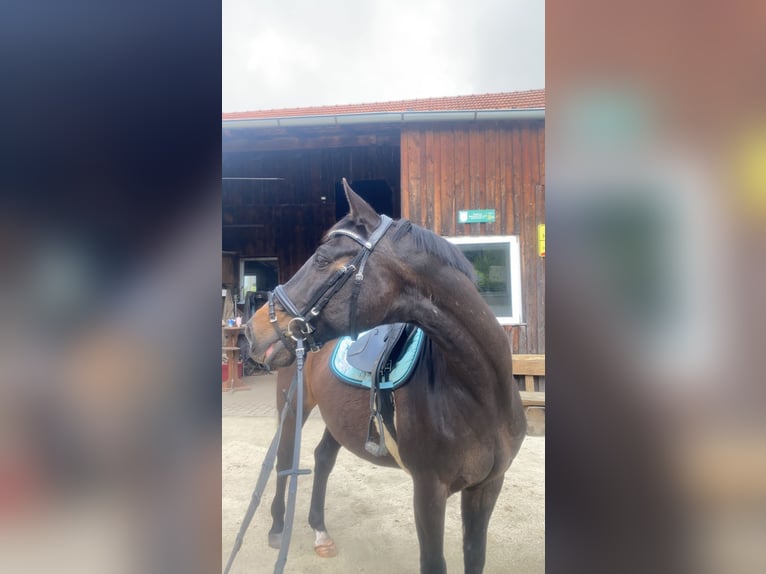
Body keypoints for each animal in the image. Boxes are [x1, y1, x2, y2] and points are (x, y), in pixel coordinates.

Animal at [246, 181, 528, 574]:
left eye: (321, 259)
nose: (253, 328)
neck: (480, 393)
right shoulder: (428, 490)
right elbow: (434, 562)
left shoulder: (487, 487)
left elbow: (475, 556)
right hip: (292, 406)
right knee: (285, 458)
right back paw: (276, 528)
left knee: (322, 457)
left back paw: (319, 530)